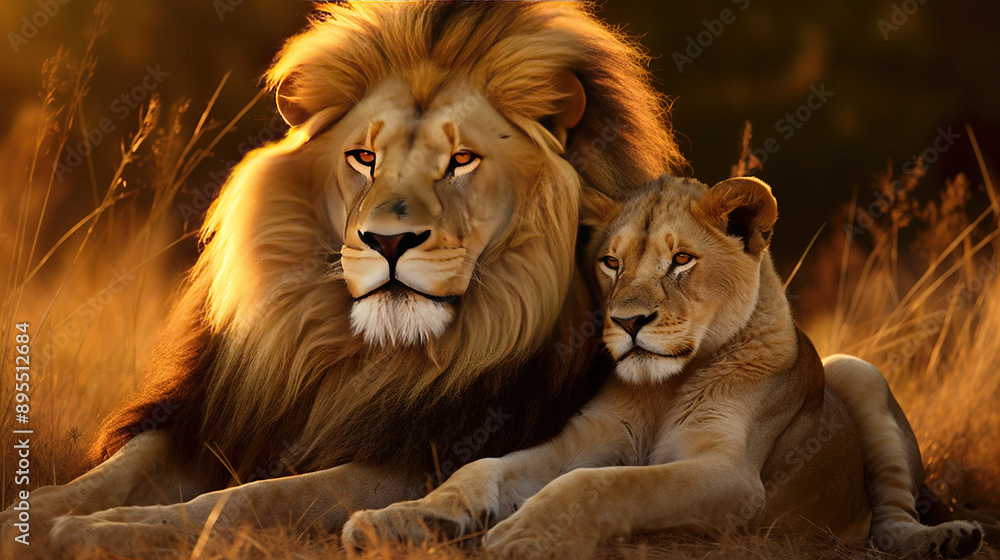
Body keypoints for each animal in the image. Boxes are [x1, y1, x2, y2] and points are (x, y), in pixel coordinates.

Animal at [0, 2, 686, 555]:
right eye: (364, 157)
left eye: (461, 160)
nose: (388, 241)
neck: (361, 361)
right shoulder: (215, 415)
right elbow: (112, 470)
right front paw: (27, 519)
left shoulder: (417, 459)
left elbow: (254, 497)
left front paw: (108, 529)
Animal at [343, 175, 984, 559]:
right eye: (610, 262)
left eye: (681, 260)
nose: (629, 322)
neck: (662, 389)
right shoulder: (582, 441)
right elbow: (479, 469)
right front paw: (404, 517)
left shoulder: (730, 476)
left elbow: (606, 484)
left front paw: (524, 532)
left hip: (857, 371)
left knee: (891, 518)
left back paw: (946, 538)